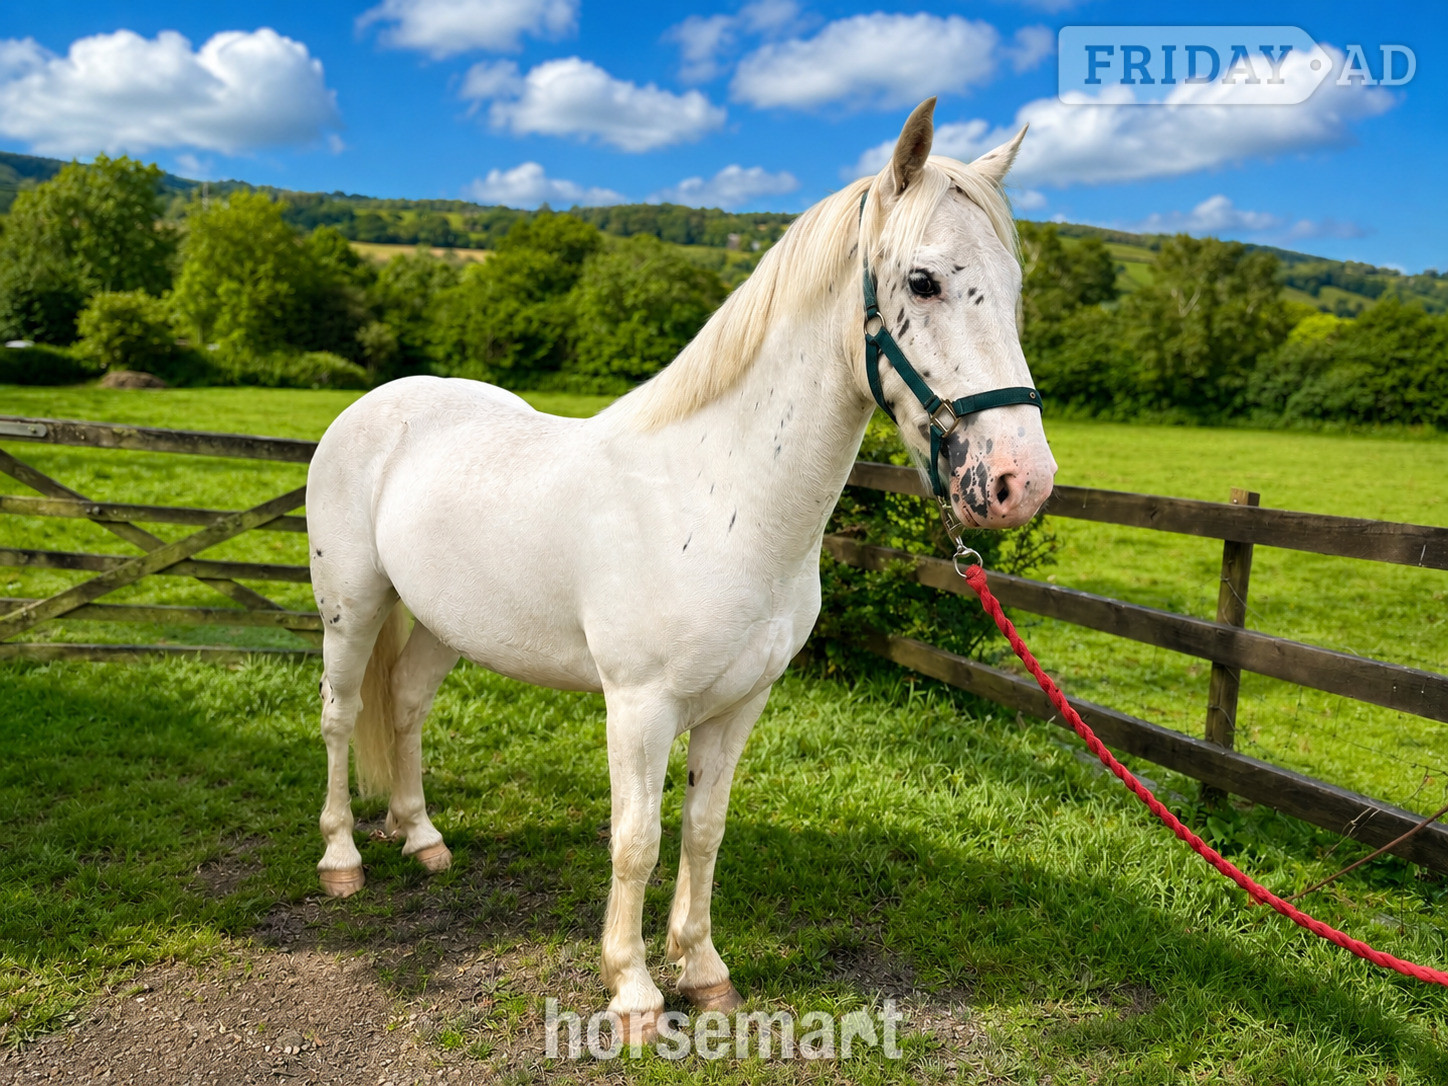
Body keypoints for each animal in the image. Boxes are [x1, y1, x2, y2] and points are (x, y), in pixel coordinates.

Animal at [304, 98, 1056, 1042]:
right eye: (922, 282)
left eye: (1018, 287)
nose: (1021, 481)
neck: (717, 492)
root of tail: (376, 405)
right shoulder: (640, 706)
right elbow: (637, 841)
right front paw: (631, 992)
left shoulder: (740, 704)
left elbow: (704, 829)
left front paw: (702, 971)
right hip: (352, 608)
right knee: (340, 718)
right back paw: (341, 859)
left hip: (446, 624)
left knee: (403, 709)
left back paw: (423, 839)